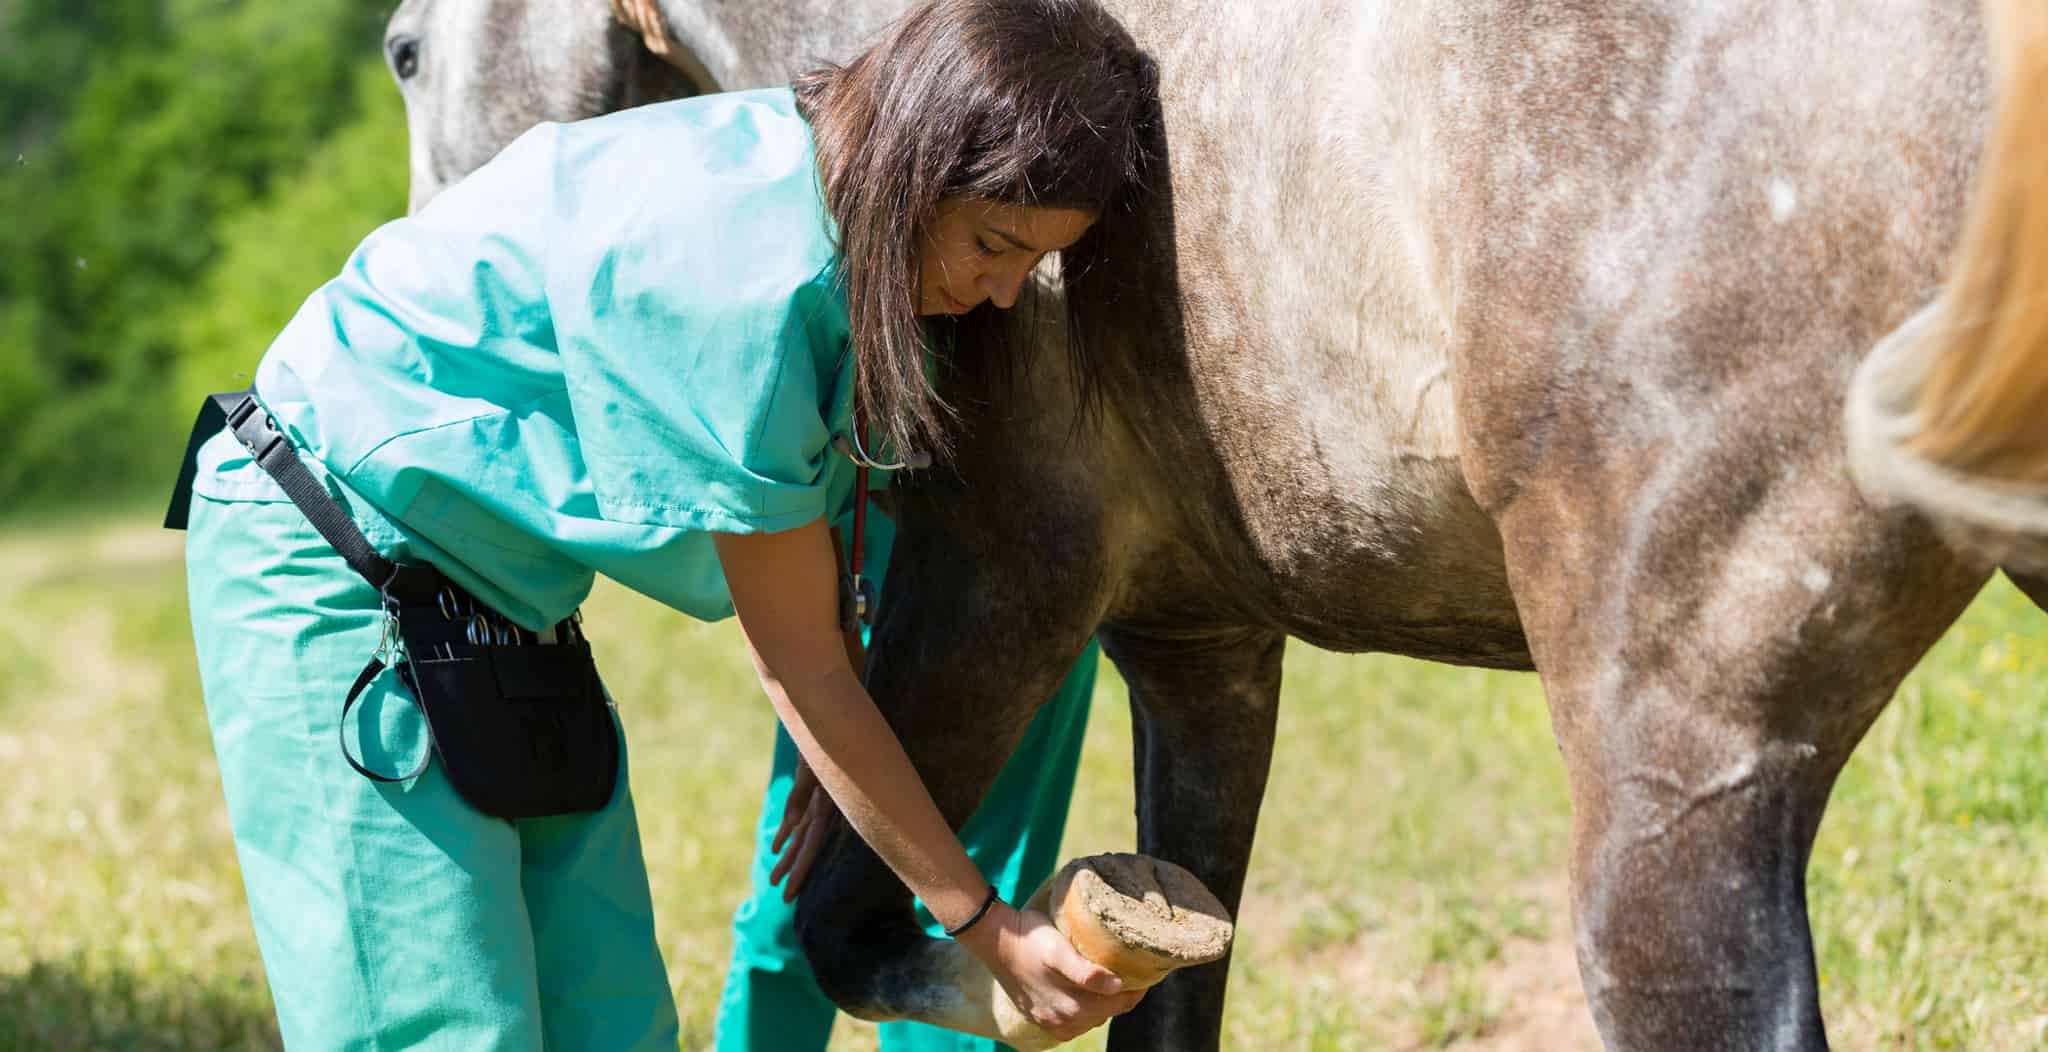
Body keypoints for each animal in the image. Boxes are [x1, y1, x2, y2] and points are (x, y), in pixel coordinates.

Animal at [381, 0, 2048, 1047]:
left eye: (399, 50)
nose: (427, 261)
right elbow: (1172, 985)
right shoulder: (1203, 656)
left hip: (1681, 767)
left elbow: (849, 923)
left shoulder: (994, 586)